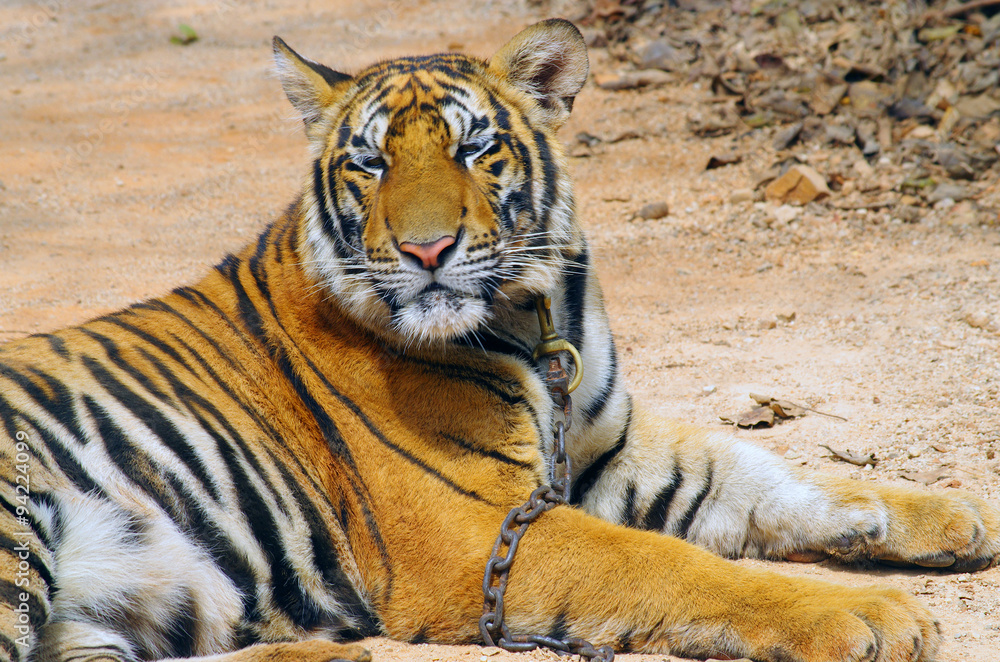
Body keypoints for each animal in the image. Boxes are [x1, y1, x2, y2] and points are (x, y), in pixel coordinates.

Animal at [2, 18, 999, 662]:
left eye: (475, 150)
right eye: (369, 163)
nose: (426, 250)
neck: (532, 316)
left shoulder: (607, 448)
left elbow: (770, 473)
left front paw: (944, 514)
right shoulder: (475, 529)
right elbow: (674, 564)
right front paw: (873, 614)